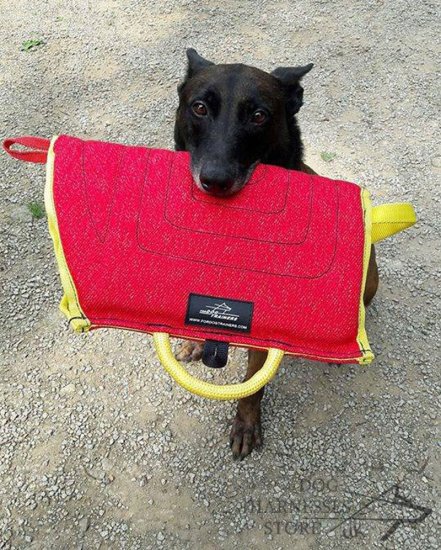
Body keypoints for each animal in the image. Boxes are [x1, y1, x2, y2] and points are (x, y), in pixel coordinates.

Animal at [174, 49, 376, 460]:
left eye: (258, 115)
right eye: (199, 107)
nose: (215, 180)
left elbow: (253, 384)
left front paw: (246, 425)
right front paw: (194, 339)